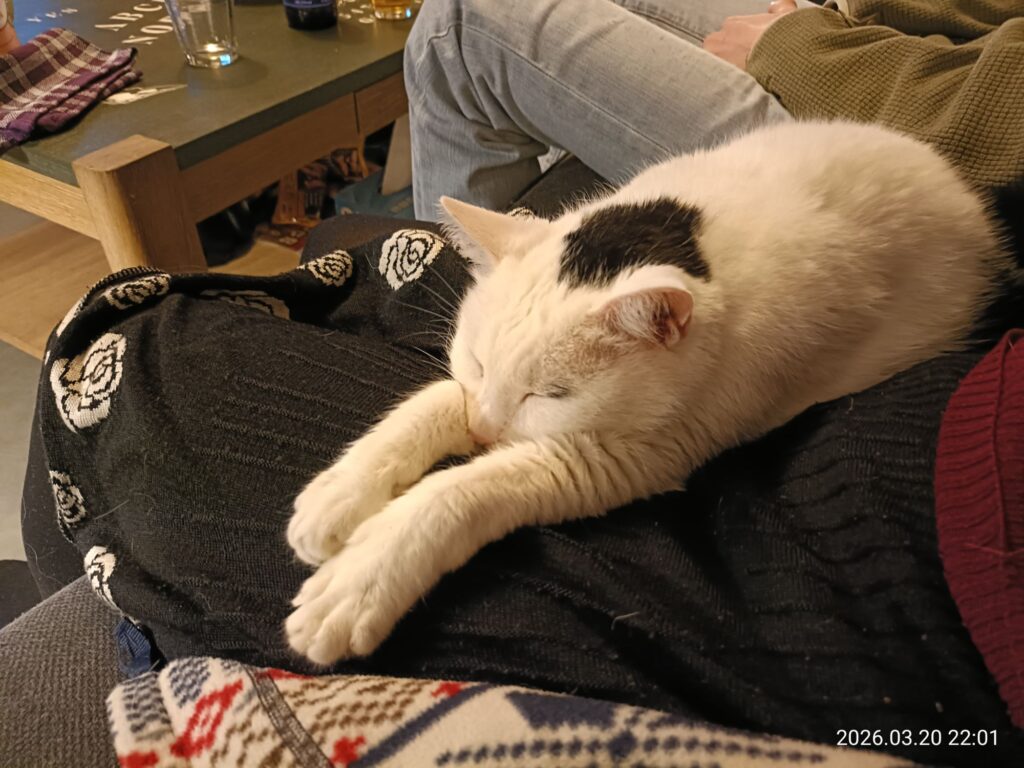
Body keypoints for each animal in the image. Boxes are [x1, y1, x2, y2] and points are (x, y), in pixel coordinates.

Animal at [284, 120, 1011, 666]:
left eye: (550, 395)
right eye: (480, 362)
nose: (488, 433)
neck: (689, 246)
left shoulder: (625, 456)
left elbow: (461, 490)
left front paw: (360, 578)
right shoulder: (471, 395)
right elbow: (432, 404)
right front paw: (339, 495)